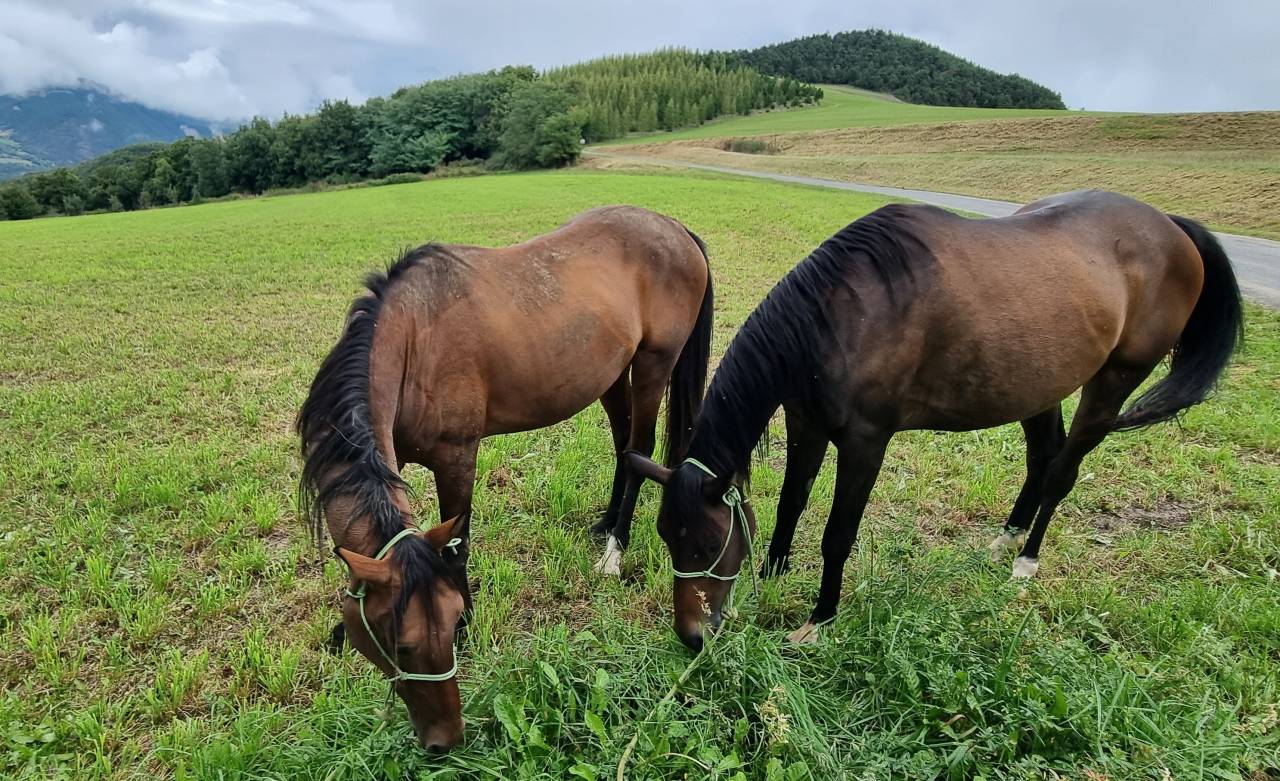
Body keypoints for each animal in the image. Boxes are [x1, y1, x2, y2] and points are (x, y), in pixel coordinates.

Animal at [297, 205, 713, 750]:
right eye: (400, 647)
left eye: (447, 622)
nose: (445, 741)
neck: (413, 340)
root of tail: (674, 227)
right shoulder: (393, 460)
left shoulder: (456, 457)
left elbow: (458, 543)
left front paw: (470, 625)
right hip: (611, 375)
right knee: (624, 447)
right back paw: (605, 524)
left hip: (653, 365)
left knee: (639, 451)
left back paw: (615, 550)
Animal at [626, 190, 1243, 651]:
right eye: (666, 538)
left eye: (707, 545)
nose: (692, 637)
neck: (842, 315)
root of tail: (1171, 228)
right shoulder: (806, 422)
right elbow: (790, 502)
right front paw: (774, 575)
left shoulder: (865, 442)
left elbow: (837, 535)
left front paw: (820, 618)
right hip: (1037, 387)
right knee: (1043, 456)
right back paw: (1004, 541)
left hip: (1113, 382)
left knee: (1063, 470)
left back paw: (1026, 560)